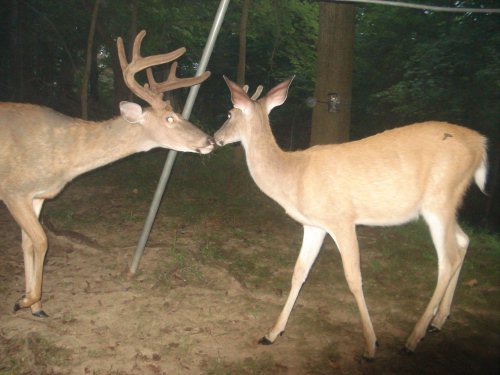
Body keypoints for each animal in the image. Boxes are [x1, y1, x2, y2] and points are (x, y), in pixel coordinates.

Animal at [0, 30, 213, 318]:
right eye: (170, 118)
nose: (210, 140)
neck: (67, 154)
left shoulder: (38, 195)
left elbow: (29, 243)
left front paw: (36, 306)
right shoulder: (14, 190)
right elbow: (42, 240)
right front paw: (25, 300)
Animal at [215, 76, 488, 362]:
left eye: (229, 113)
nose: (215, 138)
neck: (294, 175)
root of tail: (480, 144)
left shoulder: (342, 219)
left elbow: (354, 278)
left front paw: (370, 345)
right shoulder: (313, 225)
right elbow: (299, 272)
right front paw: (271, 333)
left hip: (439, 198)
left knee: (448, 259)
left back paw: (413, 338)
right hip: (448, 202)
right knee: (463, 240)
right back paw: (438, 321)